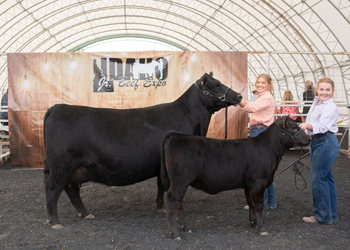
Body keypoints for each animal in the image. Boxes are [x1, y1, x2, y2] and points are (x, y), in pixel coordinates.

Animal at [43, 72, 242, 229]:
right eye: (217, 85)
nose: (239, 96)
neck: (191, 117)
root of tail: (56, 107)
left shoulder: (161, 164)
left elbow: (160, 185)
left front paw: (159, 207)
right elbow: (166, 186)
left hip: (74, 169)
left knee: (71, 189)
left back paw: (86, 214)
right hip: (61, 165)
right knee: (53, 187)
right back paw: (55, 222)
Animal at [161, 116, 308, 239]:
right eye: (294, 127)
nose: (309, 138)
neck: (268, 148)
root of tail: (178, 136)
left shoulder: (248, 184)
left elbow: (251, 203)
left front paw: (253, 223)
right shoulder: (258, 181)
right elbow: (258, 205)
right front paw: (262, 228)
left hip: (180, 183)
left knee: (179, 203)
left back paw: (186, 227)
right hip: (179, 182)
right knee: (172, 201)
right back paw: (174, 233)